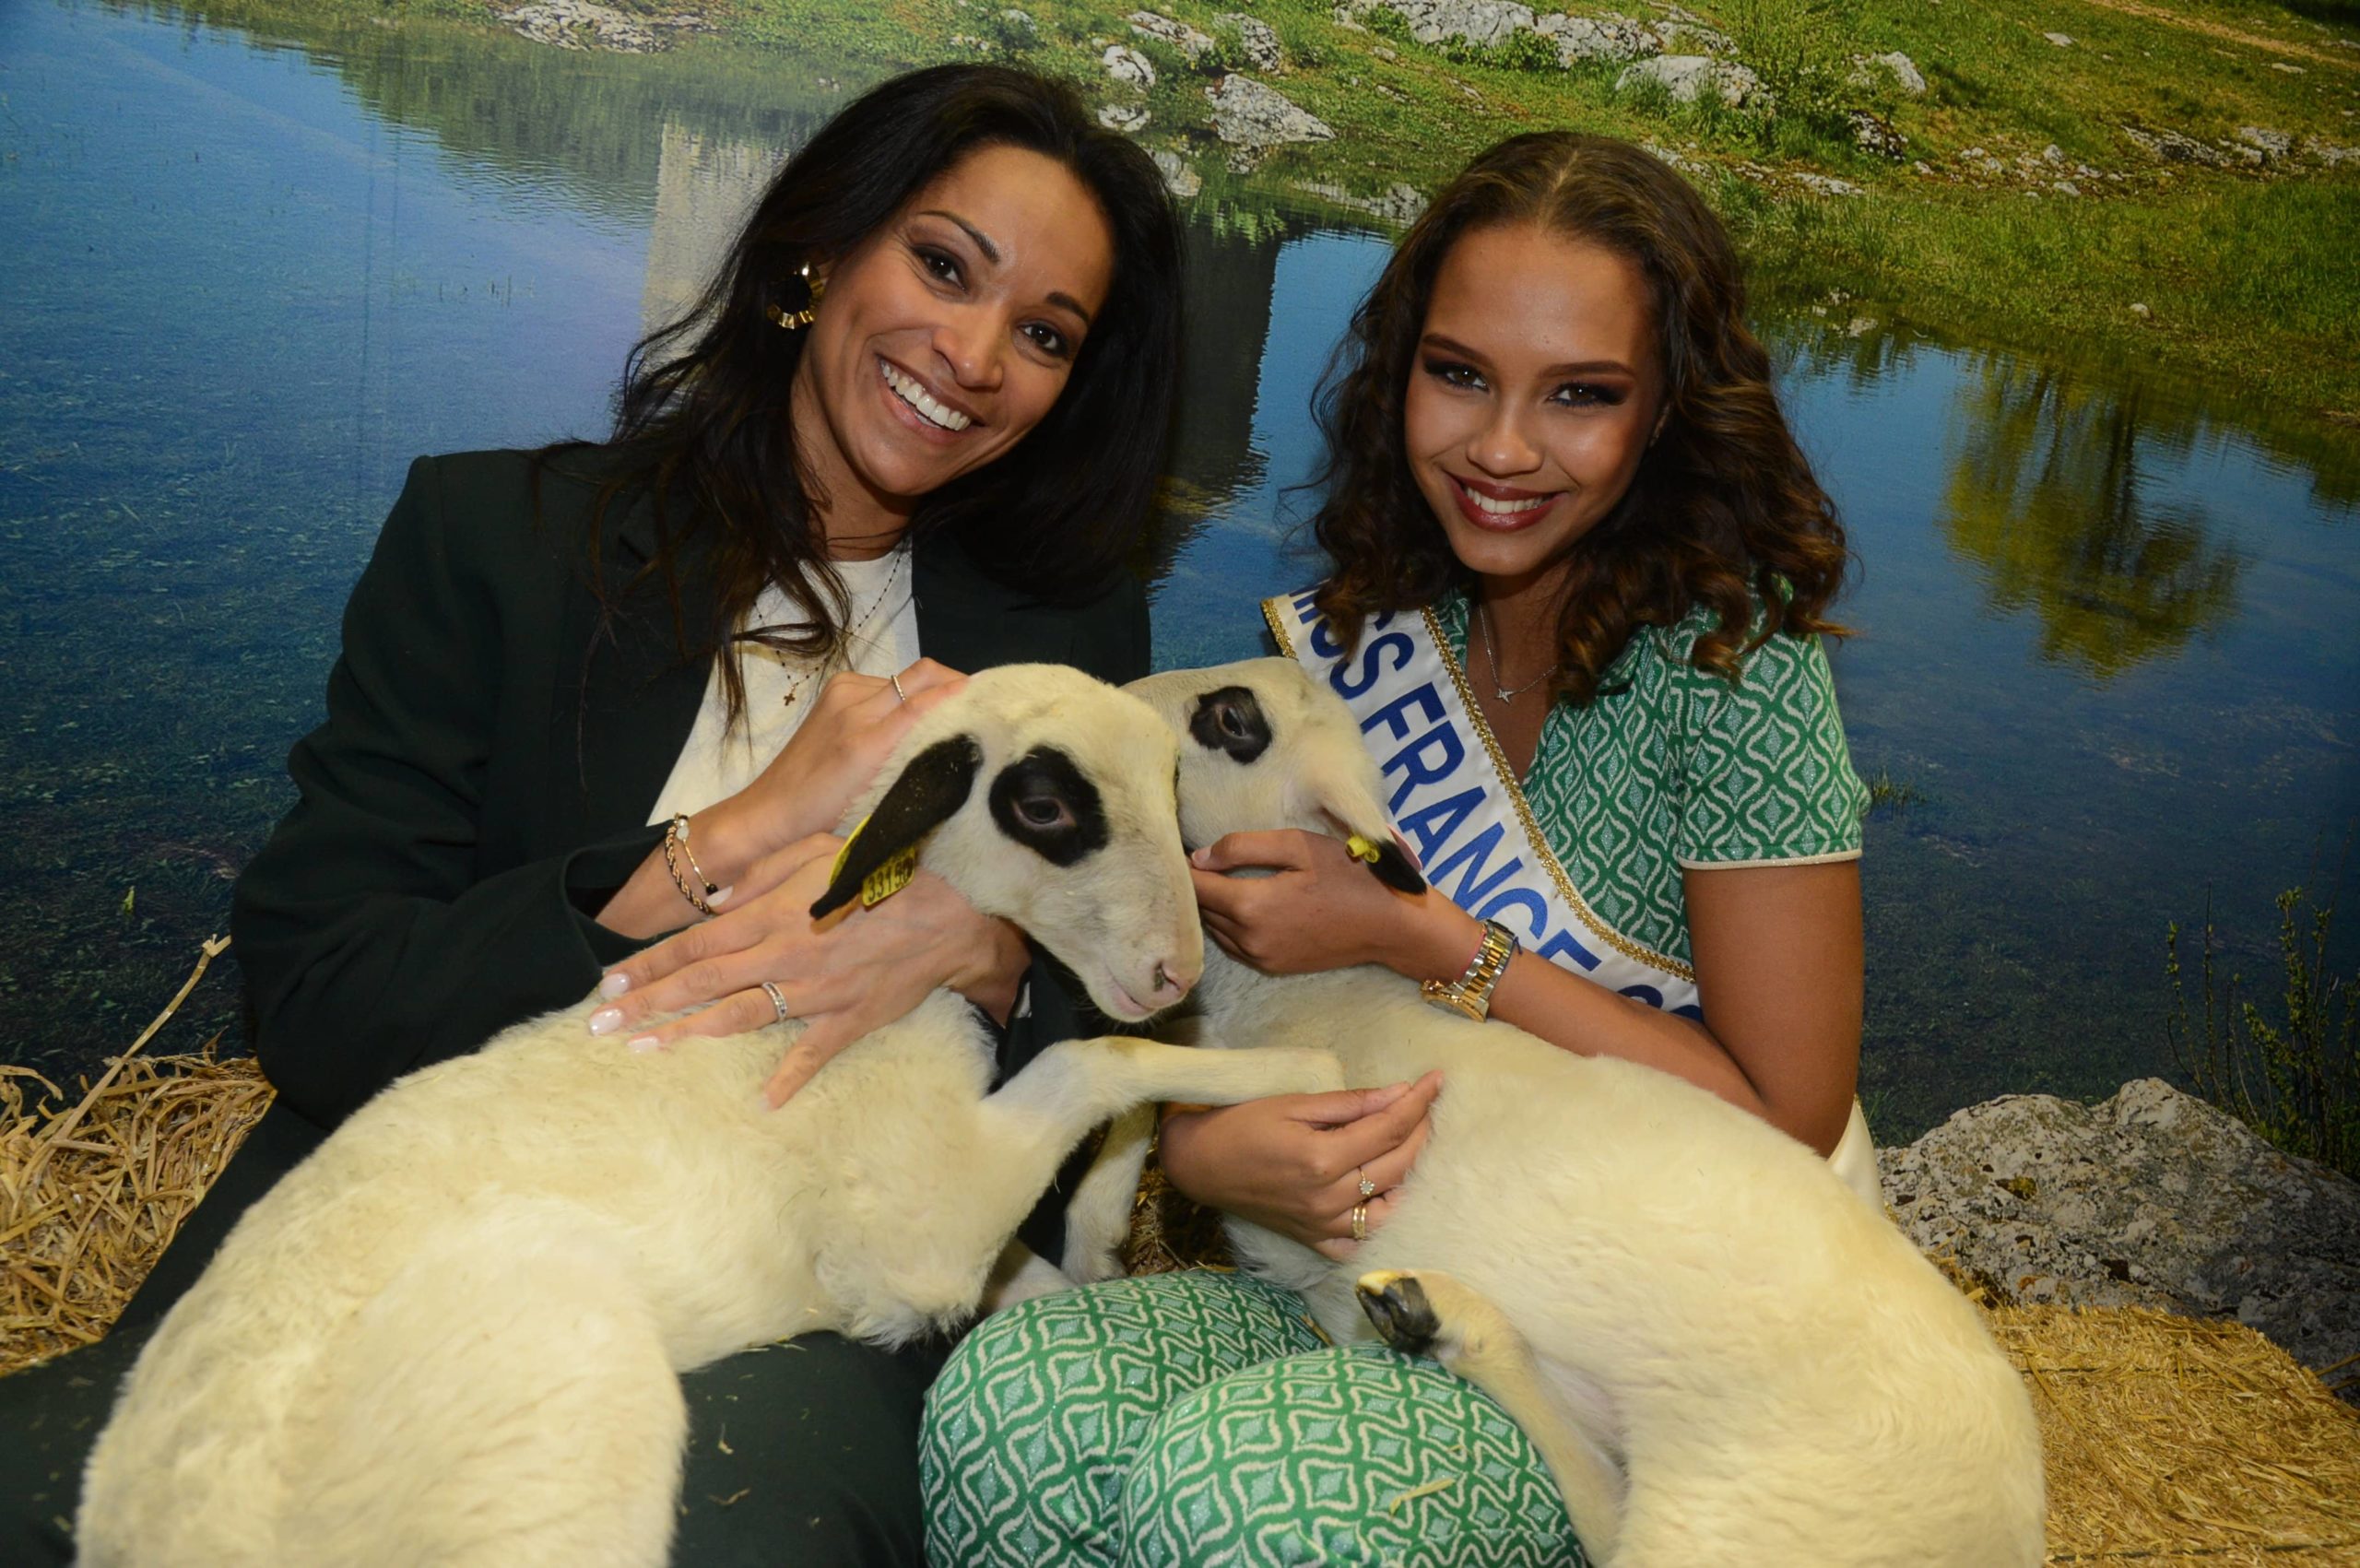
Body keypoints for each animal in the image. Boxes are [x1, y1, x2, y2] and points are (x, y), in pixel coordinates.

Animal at [74, 666, 1350, 1568]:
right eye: (1041, 805)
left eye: (1173, 790)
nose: (1175, 969)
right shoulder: (920, 1236)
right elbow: (1103, 1059)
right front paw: (1304, 1075)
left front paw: (1098, 1238)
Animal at [1071, 656, 2048, 1568]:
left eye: (1234, 719)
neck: (1323, 993)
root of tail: (2008, 1526)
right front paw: (1096, 1222)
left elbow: (1144, 1072)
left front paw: (1087, 1220)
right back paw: (1435, 1316)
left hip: (1734, 1523)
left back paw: (1436, 1313)